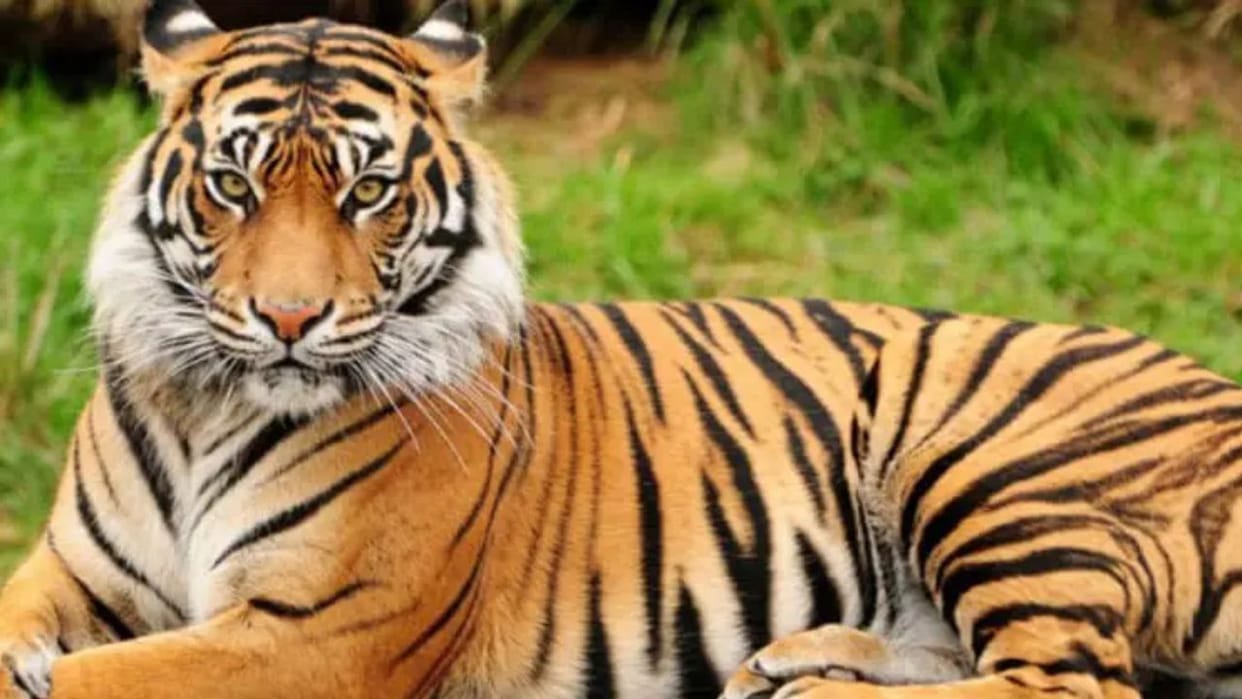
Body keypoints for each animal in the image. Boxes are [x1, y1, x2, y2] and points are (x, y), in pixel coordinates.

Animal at [0, 0, 1240, 698]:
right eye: (234, 184)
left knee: (1074, 682)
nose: (289, 320)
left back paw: (812, 692)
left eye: (368, 193)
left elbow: (89, 684)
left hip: (977, 451)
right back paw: (791, 661)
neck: (207, 403)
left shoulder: (314, 634)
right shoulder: (67, 574)